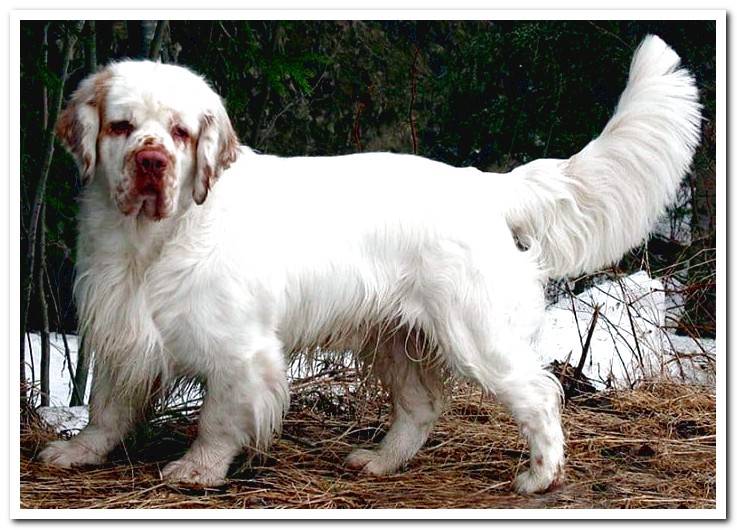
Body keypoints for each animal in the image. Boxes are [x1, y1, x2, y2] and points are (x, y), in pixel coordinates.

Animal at [40, 35, 700, 492]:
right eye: (122, 126)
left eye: (179, 133)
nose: (151, 163)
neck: (152, 239)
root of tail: (483, 185)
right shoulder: (120, 326)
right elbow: (106, 405)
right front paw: (79, 452)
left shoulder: (242, 351)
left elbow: (219, 419)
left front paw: (197, 469)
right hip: (396, 338)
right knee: (420, 410)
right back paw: (380, 462)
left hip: (476, 334)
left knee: (539, 393)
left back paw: (540, 476)